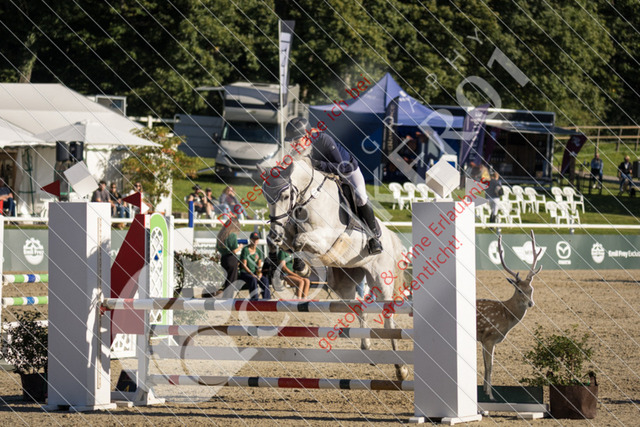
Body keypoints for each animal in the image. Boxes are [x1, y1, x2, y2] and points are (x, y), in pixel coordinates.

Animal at [260, 157, 409, 380]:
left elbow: (300, 239)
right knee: (359, 305)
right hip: (344, 281)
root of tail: (390, 236)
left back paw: (401, 369)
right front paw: (293, 263)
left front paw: (301, 265)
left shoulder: (326, 239)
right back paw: (366, 347)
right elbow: (290, 242)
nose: (275, 232)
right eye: (266, 196)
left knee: (388, 318)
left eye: (285, 196)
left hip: (381, 279)